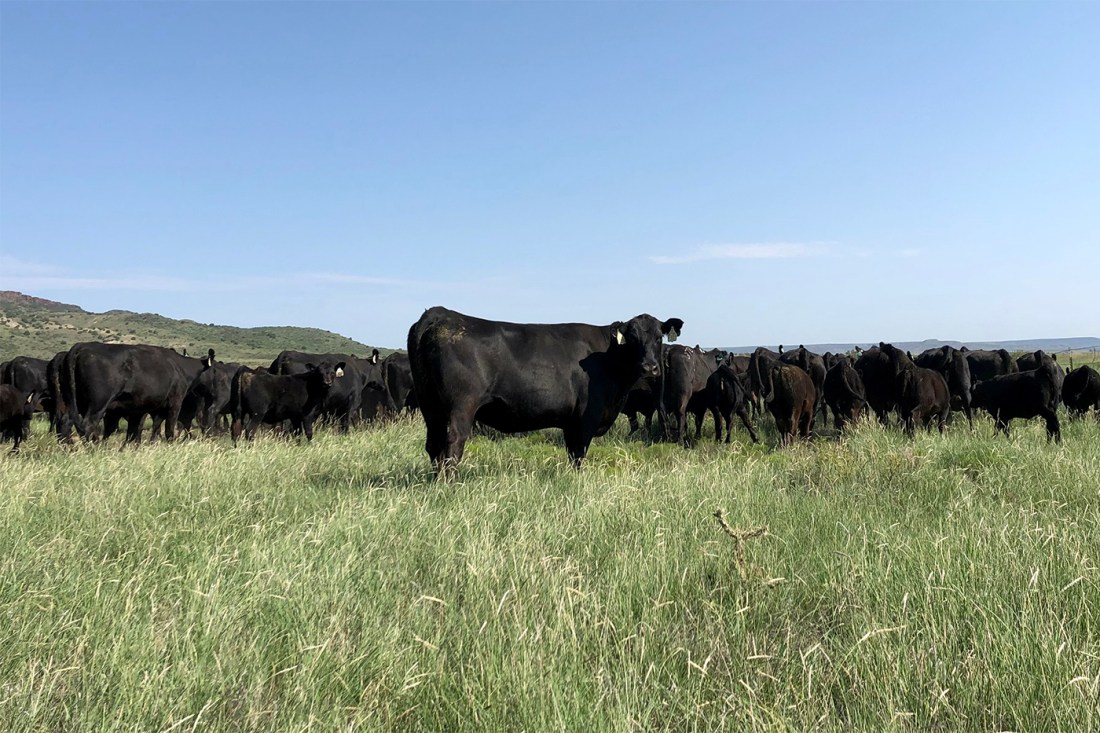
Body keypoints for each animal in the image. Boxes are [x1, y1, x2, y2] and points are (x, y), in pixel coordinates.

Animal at [407, 306, 683, 473]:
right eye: (633, 337)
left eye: (658, 337)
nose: (650, 367)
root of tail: (442, 313)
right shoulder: (585, 418)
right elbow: (578, 454)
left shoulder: (571, 422)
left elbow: (572, 453)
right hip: (460, 407)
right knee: (452, 444)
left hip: (430, 406)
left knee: (433, 444)